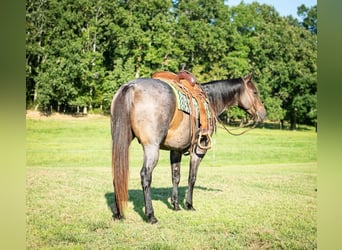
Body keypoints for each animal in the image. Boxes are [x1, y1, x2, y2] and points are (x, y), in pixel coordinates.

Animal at [111, 72, 266, 223]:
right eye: (255, 92)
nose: (263, 113)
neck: (210, 100)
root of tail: (131, 86)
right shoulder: (199, 149)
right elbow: (192, 177)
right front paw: (189, 204)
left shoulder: (175, 150)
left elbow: (176, 177)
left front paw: (175, 205)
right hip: (151, 147)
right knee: (145, 176)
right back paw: (151, 215)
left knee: (117, 173)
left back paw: (118, 214)